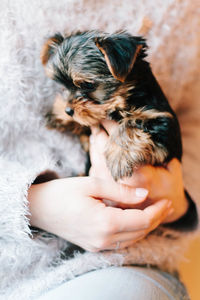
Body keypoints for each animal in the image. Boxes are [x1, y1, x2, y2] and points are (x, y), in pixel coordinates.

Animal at [40, 31, 181, 180]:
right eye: (64, 86)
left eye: (87, 85)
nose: (68, 110)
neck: (124, 100)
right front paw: (59, 114)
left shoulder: (164, 126)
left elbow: (130, 125)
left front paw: (119, 155)